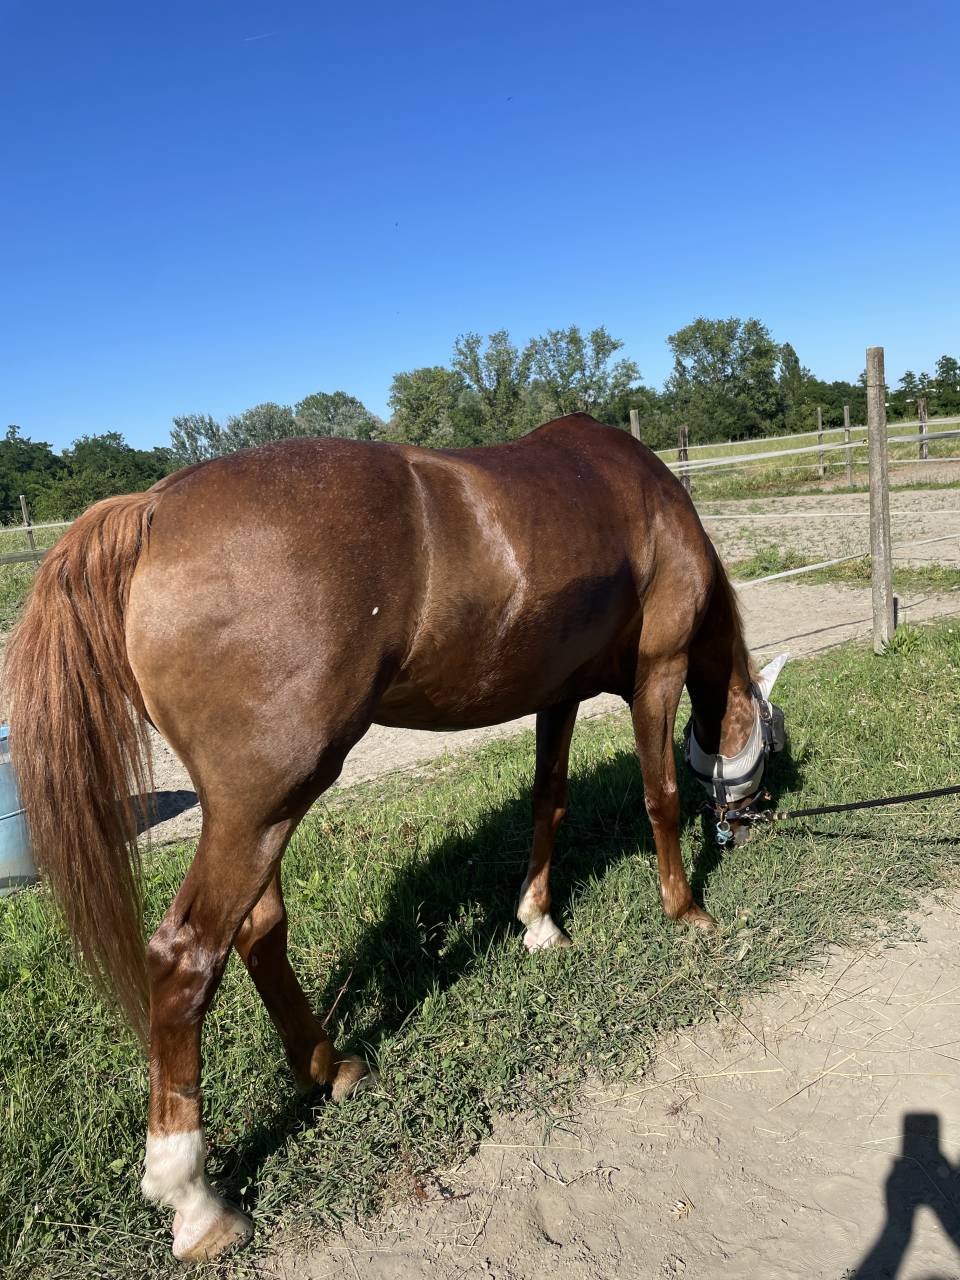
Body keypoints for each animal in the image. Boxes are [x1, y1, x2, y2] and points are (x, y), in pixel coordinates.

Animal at [5, 413, 787, 1262]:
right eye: (770, 746)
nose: (753, 820)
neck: (647, 499)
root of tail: (153, 509)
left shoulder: (558, 693)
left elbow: (548, 802)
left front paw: (540, 921)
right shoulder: (658, 668)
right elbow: (661, 797)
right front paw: (687, 911)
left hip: (257, 809)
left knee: (259, 932)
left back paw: (328, 1069)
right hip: (264, 803)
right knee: (187, 959)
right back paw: (194, 1198)